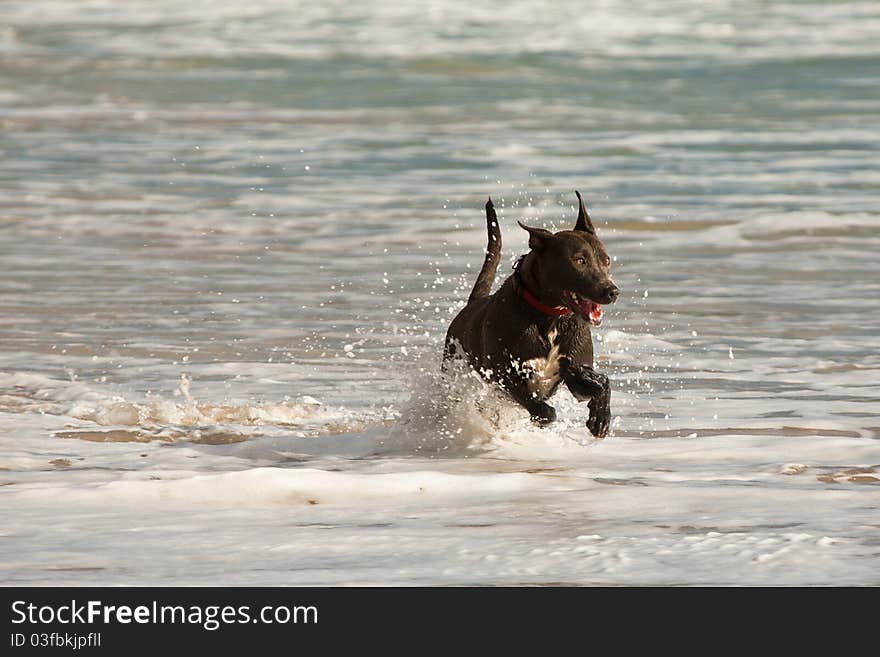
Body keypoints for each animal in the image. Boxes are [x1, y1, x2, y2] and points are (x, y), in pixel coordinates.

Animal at [444, 191, 624, 436]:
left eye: (606, 260)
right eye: (580, 260)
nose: (612, 291)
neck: (551, 317)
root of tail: (473, 304)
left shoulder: (575, 371)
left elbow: (600, 383)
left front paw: (600, 417)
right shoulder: (504, 374)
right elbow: (540, 406)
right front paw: (542, 416)